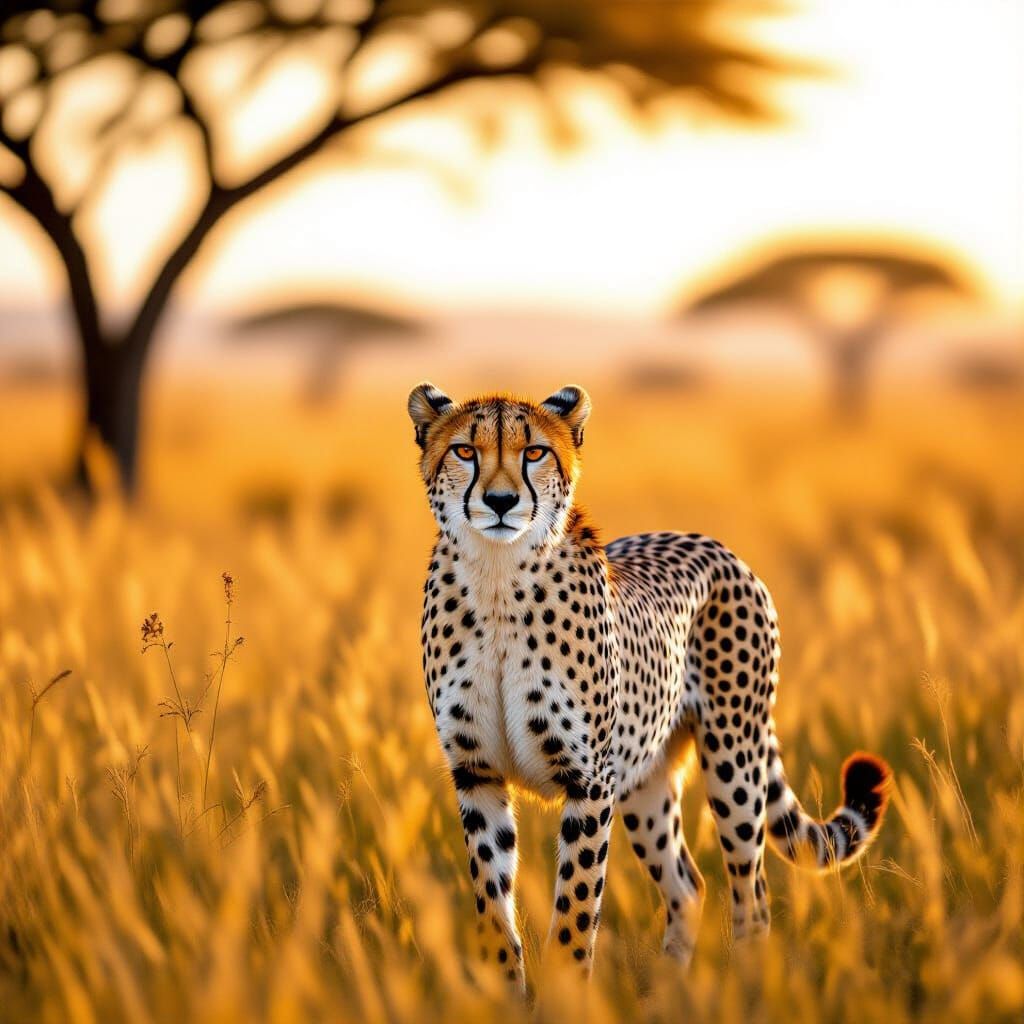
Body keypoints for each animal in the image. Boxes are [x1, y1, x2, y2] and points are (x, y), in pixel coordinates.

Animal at [408, 381, 891, 991]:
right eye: (465, 451)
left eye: (535, 452)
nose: (499, 501)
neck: (498, 578)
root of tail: (714, 544)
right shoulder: (478, 774)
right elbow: (495, 912)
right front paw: (505, 996)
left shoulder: (589, 781)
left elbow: (574, 915)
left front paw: (567, 997)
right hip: (645, 778)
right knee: (689, 886)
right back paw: (668, 993)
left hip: (732, 760)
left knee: (752, 894)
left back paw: (747, 989)